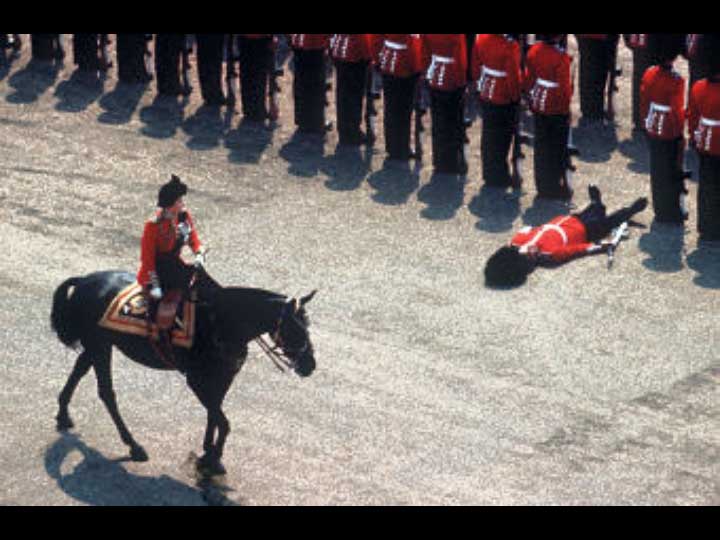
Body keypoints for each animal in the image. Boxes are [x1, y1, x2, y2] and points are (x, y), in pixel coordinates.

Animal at [52, 268, 316, 474]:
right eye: (295, 328)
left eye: (308, 325)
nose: (310, 366)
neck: (222, 322)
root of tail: (85, 280)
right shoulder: (197, 381)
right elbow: (223, 420)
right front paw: (213, 456)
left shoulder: (223, 378)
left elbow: (215, 414)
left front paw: (208, 452)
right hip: (99, 346)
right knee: (106, 392)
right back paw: (133, 445)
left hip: (97, 345)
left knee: (79, 371)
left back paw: (64, 413)